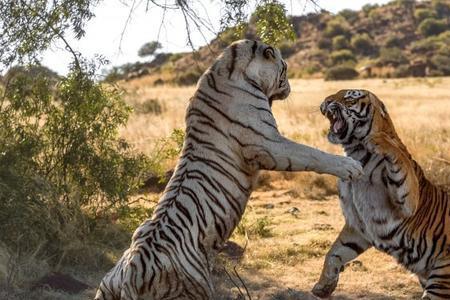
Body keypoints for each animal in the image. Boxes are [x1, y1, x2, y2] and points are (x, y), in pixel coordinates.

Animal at [95, 39, 362, 300]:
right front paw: (351, 167)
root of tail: (129, 275)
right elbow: (311, 154)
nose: (290, 86)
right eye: (284, 66)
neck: (228, 66)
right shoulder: (269, 144)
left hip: (106, 285)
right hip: (194, 288)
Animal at [312, 89, 450, 300]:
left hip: (441, 279)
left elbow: (398, 157)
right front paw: (323, 286)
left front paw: (378, 140)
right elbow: (334, 253)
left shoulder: (408, 201)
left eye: (349, 97)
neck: (354, 152)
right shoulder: (358, 227)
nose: (326, 101)